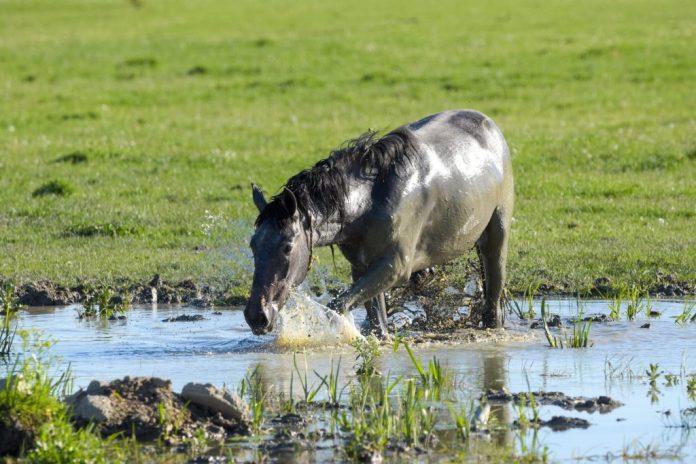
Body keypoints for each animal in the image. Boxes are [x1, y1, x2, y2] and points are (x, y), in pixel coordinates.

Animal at [243, 111, 512, 338]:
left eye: (288, 246)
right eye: (253, 245)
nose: (257, 316)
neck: (368, 201)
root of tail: (490, 125)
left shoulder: (395, 266)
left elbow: (337, 305)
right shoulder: (363, 267)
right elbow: (376, 320)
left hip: (497, 232)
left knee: (494, 291)